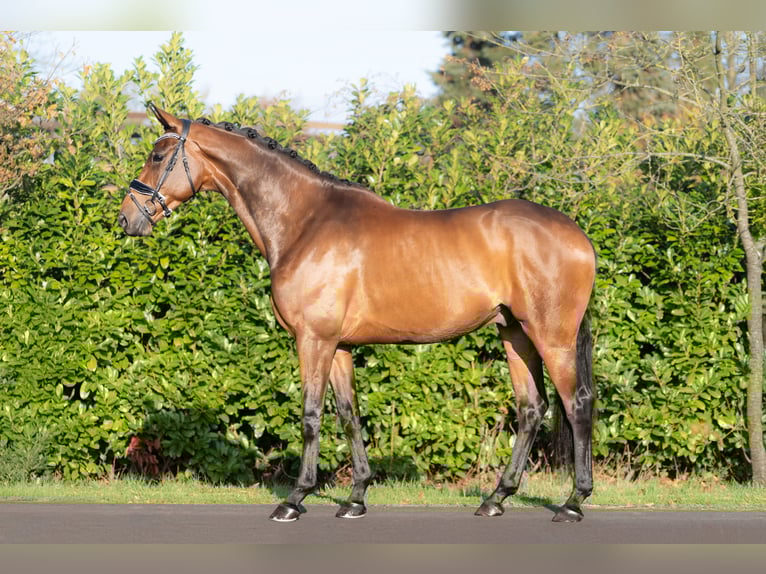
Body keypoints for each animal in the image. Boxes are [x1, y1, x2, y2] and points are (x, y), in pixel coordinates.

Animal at [119, 104, 596, 523]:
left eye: (157, 156)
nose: (127, 220)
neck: (306, 222)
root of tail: (578, 235)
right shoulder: (339, 345)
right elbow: (349, 415)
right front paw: (356, 497)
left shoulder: (313, 340)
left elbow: (311, 416)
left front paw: (294, 499)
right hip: (514, 333)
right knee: (531, 408)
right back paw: (496, 499)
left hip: (551, 337)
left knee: (577, 404)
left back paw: (573, 503)